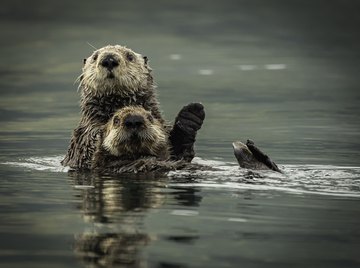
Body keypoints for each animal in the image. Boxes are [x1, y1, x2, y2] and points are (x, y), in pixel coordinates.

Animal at [62, 44, 205, 170]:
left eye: (130, 56)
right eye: (95, 57)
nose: (109, 59)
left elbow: (180, 153)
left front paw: (191, 115)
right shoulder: (84, 136)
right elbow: (90, 154)